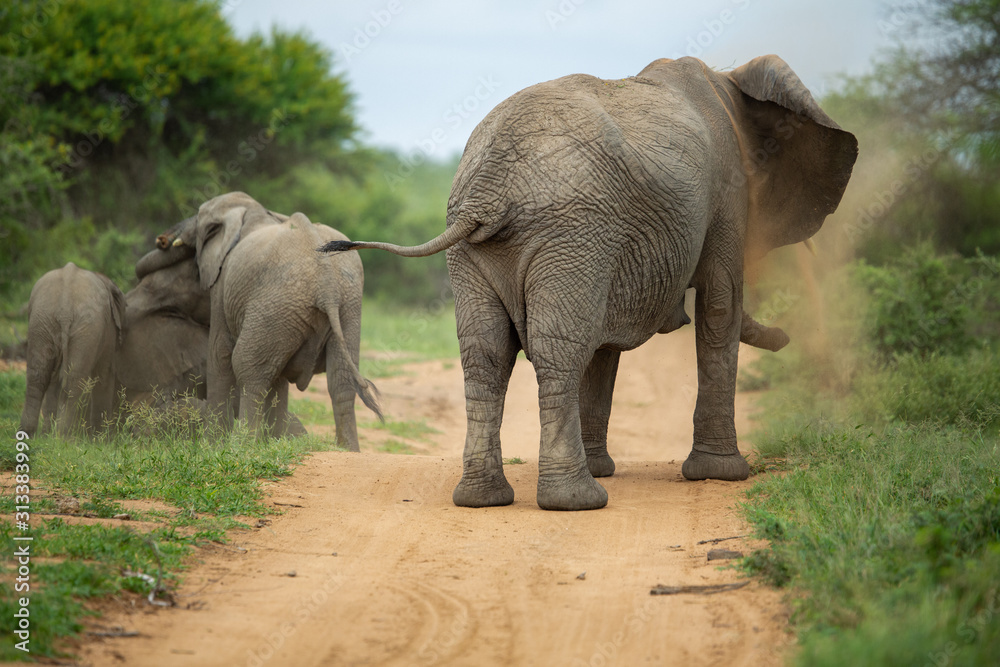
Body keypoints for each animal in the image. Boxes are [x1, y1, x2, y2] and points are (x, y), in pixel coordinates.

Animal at [19, 263, 126, 437]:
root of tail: (65, 308)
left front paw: (46, 435)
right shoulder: (108, 328)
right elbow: (105, 373)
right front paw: (102, 439)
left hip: (42, 321)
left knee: (38, 377)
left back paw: (30, 435)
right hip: (86, 326)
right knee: (73, 381)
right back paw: (63, 437)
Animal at [169, 192, 381, 447]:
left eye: (199, 217)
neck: (251, 210)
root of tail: (327, 283)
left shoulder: (221, 287)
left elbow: (219, 355)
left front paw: (211, 447)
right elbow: (278, 376)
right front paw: (275, 443)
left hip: (276, 305)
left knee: (248, 372)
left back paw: (244, 446)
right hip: (340, 307)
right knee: (341, 382)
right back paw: (348, 451)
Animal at [322, 55, 857, 510]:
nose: (790, 336)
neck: (730, 80)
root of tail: (488, 190)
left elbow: (604, 342)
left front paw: (607, 467)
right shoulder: (728, 192)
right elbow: (720, 305)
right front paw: (721, 474)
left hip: (499, 250)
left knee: (486, 353)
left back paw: (483, 498)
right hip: (571, 231)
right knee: (558, 349)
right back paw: (577, 500)